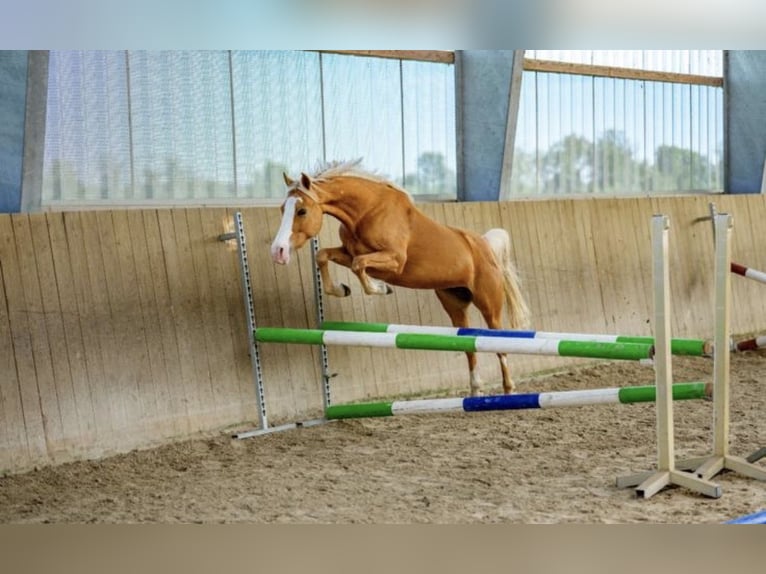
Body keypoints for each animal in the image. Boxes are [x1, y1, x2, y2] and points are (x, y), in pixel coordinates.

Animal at [270, 159, 530, 396]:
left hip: (489, 306)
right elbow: (323, 255)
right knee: (468, 345)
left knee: (499, 344)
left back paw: (508, 389)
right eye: (283, 209)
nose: (278, 252)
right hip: (455, 304)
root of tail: (485, 247)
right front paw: (342, 289)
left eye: (302, 210)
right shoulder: (348, 252)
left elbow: (358, 265)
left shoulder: (394, 261)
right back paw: (475, 391)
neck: (366, 212)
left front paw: (381, 288)